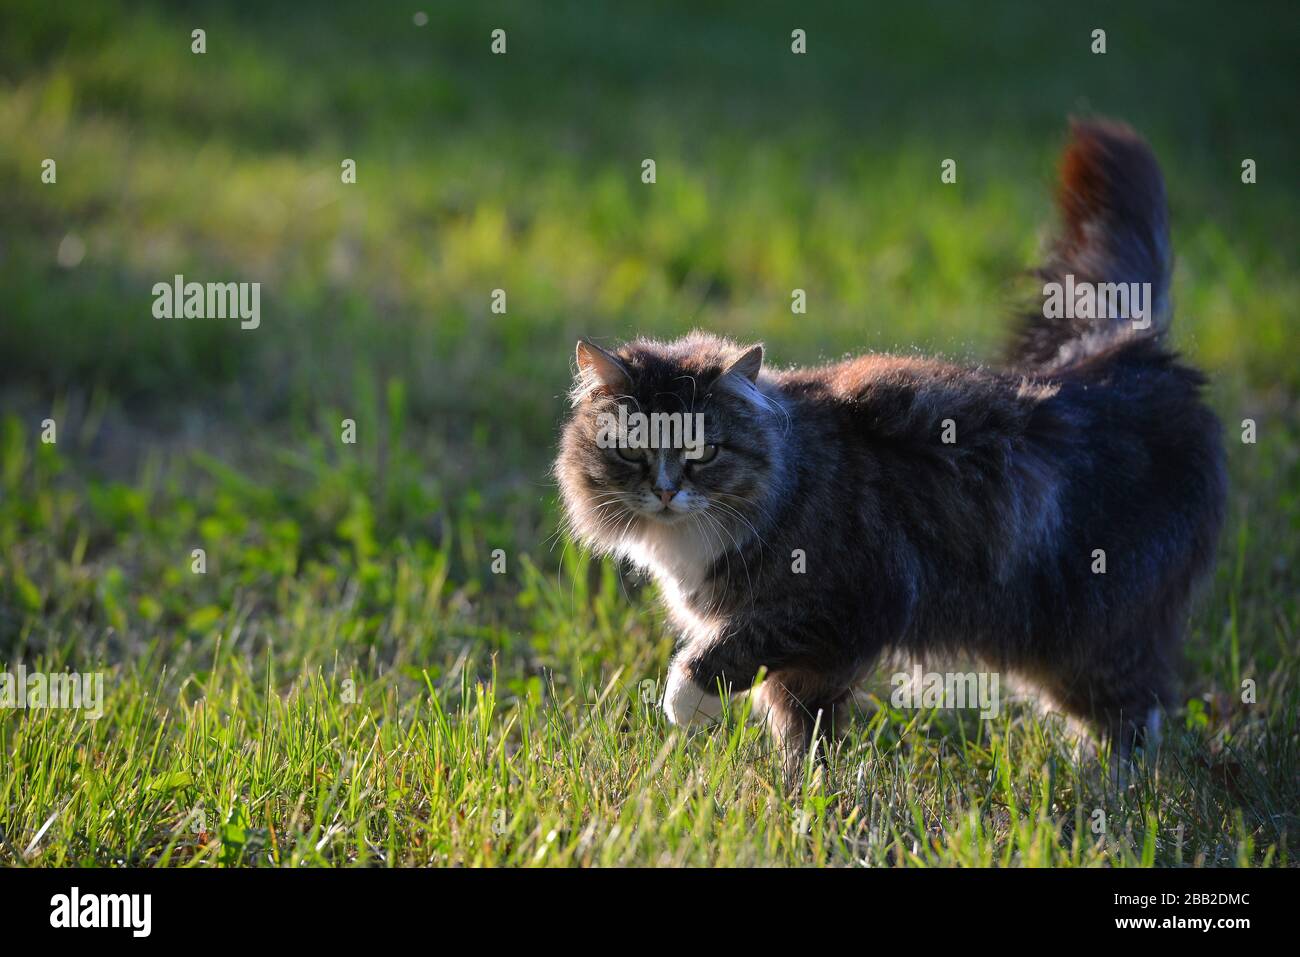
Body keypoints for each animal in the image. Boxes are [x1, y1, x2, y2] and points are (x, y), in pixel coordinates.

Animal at [553, 119, 1222, 780]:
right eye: (633, 453)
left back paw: (1111, 787)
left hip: (1088, 635)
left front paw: (685, 700)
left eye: (704, 451)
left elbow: (729, 650)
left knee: (1137, 715)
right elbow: (802, 728)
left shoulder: (846, 601)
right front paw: (804, 787)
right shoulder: (816, 660)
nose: (666, 490)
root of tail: (1127, 355)